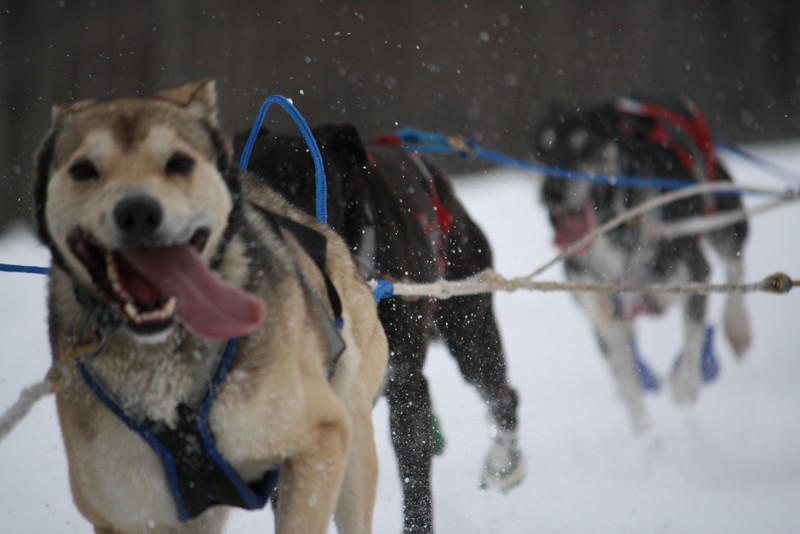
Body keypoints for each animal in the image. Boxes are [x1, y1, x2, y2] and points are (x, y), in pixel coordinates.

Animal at [32, 80, 390, 534]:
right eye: (83, 170)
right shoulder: (126, 512)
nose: (137, 211)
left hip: (353, 440)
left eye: (179, 163)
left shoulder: (322, 436)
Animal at [536, 95, 752, 432]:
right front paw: (646, 438)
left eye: (585, 146)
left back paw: (737, 327)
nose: (551, 192)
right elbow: (629, 386)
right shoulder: (603, 319)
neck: (616, 231)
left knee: (735, 266)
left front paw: (685, 386)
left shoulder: (694, 276)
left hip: (724, 219)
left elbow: (692, 340)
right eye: (541, 151)